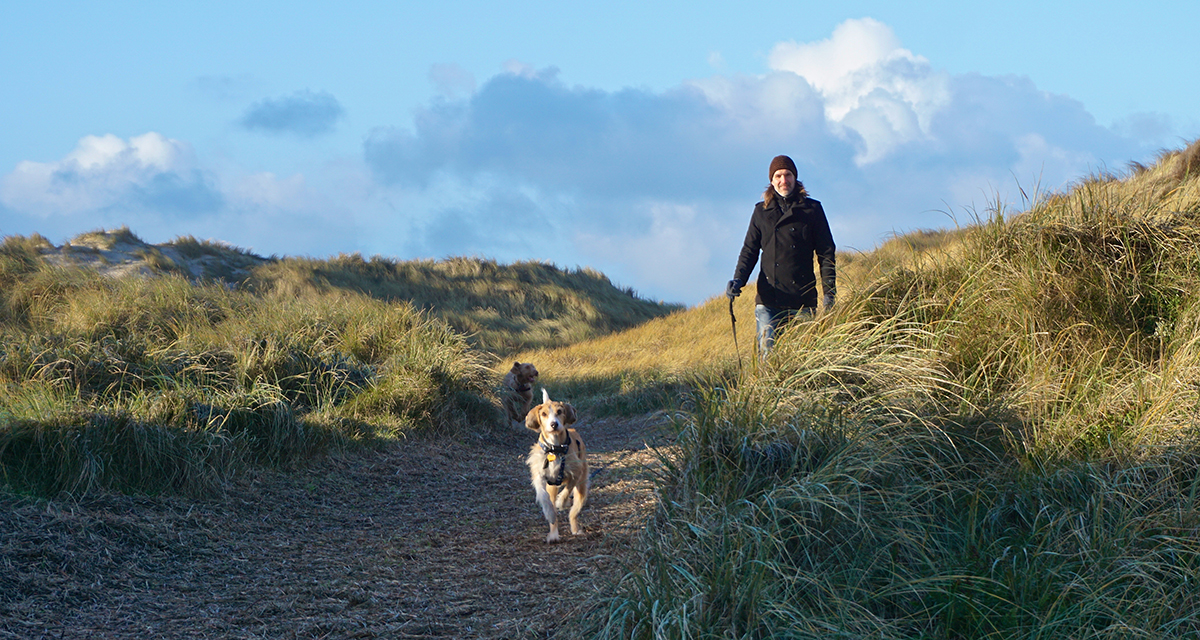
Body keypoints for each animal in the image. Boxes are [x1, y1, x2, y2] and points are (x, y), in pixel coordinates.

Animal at [523, 386, 588, 540]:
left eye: (559, 411)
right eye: (544, 414)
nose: (554, 424)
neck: (554, 448)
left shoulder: (576, 472)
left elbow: (568, 489)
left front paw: (561, 501)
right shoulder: (539, 475)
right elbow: (542, 495)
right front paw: (549, 513)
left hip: (582, 490)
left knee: (573, 513)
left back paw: (575, 529)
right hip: (552, 487)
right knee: (554, 514)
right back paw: (553, 534)